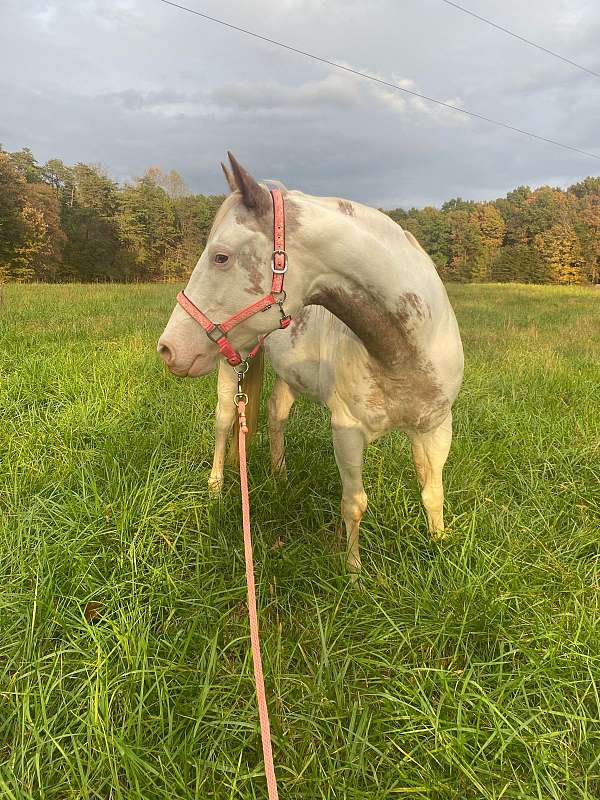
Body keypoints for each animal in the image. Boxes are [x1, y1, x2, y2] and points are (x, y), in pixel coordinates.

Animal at [158, 153, 464, 577]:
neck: (404, 350)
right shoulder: (347, 430)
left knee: (276, 413)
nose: (168, 349)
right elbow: (355, 503)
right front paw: (353, 574)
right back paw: (216, 487)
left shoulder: (435, 427)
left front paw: (439, 547)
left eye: (221, 257)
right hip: (231, 364)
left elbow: (433, 492)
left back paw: (280, 478)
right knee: (224, 422)